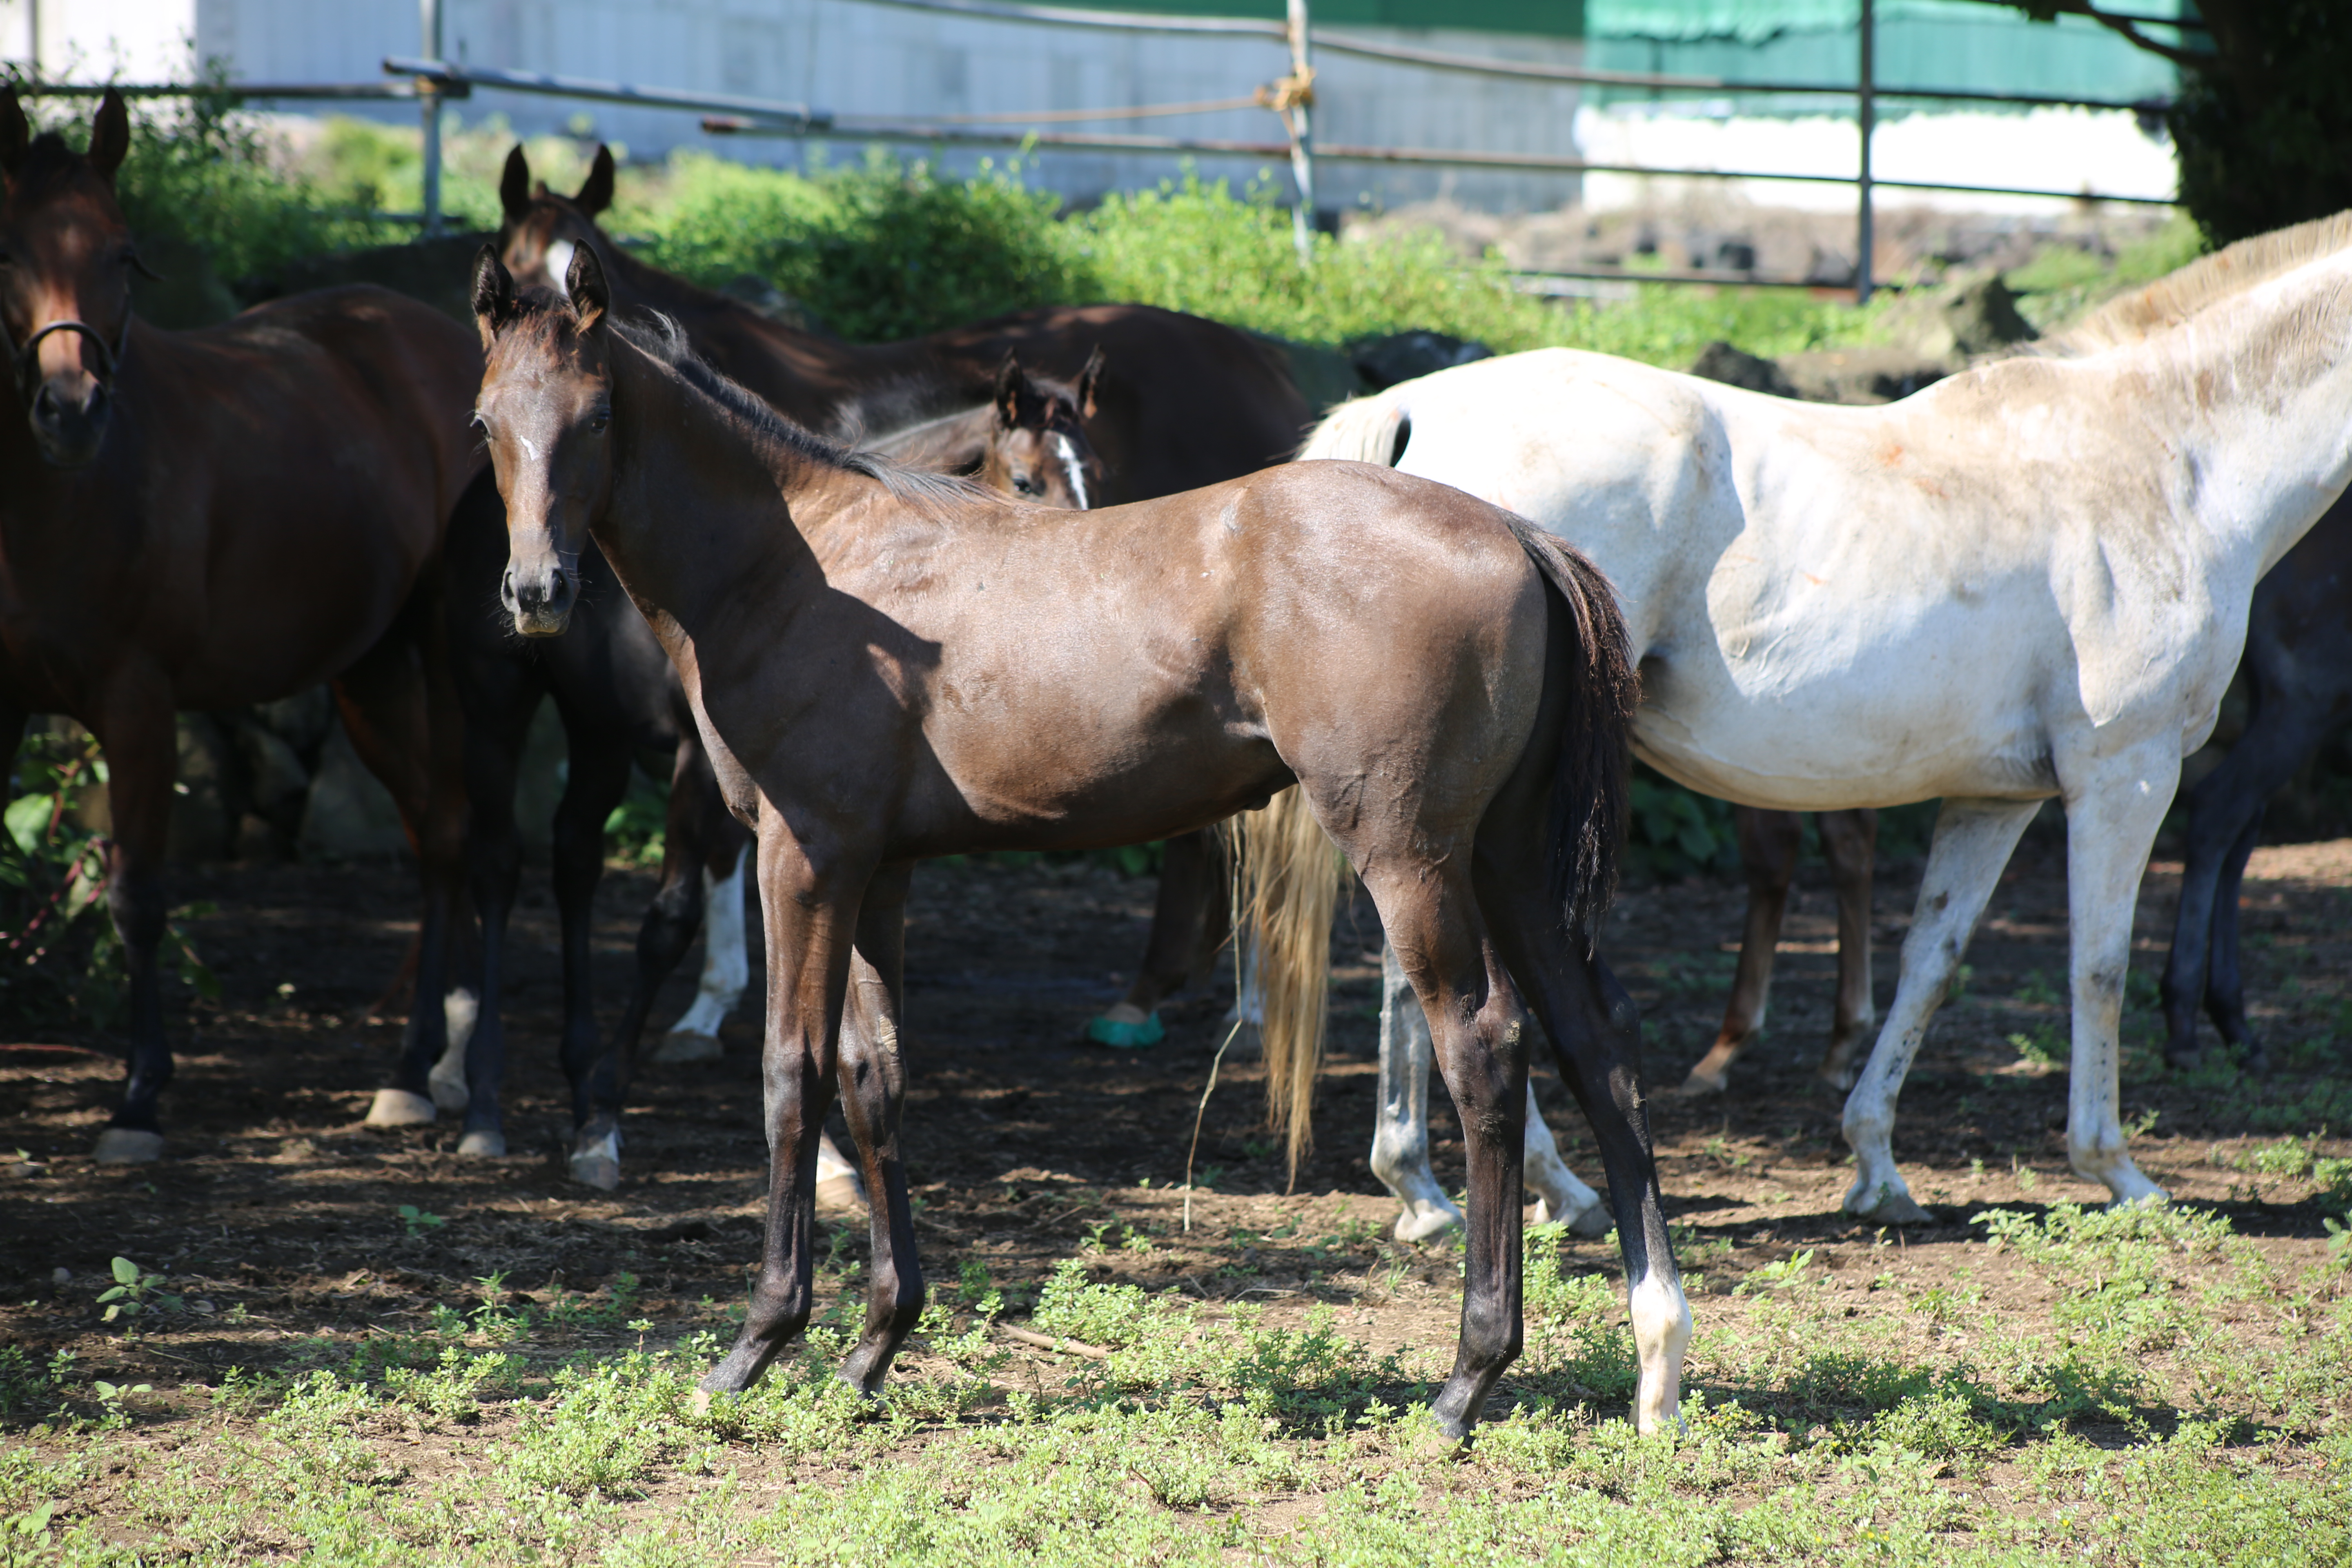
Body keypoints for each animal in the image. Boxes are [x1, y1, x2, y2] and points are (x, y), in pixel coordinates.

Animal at [0, 92, 477, 1161]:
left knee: (455, 838)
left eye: (125, 254)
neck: (57, 502)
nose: (69, 412)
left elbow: (137, 896)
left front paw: (138, 1098)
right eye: (4, 251)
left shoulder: (138, 705)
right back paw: (427, 1062)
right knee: (433, 834)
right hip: (370, 676)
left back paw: (421, 1071)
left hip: (446, 653)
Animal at [454, 355, 1115, 1189]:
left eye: (1095, 471)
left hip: (597, 730)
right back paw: (475, 1094)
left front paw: (827, 1158)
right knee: (494, 864)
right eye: (1026, 481)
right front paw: (604, 1122)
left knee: (573, 857)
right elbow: (670, 921)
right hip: (495, 705)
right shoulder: (704, 763)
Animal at [1298, 217, 2352, 1222]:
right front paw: (2115, 1170)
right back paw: (1544, 1187)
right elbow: (2097, 967)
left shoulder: (1996, 797)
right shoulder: (2123, 773)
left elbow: (1930, 962)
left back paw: (1426, 1189)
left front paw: (1876, 1164)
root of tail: (1416, 414)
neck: (2167, 458)